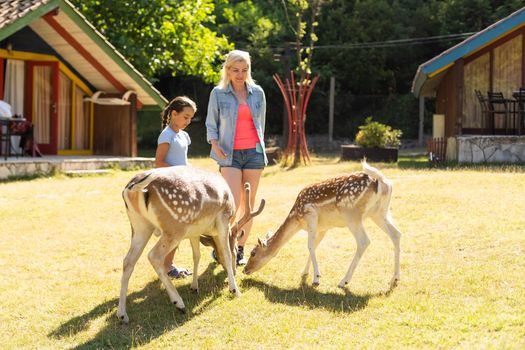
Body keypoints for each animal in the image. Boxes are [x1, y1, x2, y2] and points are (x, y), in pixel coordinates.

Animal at [117, 165, 264, 324]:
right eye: (237, 250)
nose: (236, 272)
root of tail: (132, 187)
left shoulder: (194, 232)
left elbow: (196, 256)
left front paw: (194, 287)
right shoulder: (223, 219)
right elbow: (225, 252)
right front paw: (235, 290)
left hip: (140, 226)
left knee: (128, 261)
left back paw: (122, 314)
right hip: (175, 227)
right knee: (154, 256)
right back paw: (179, 303)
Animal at [244, 161, 400, 290]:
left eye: (253, 253)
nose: (245, 269)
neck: (297, 218)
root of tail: (382, 181)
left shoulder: (311, 215)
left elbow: (310, 246)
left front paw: (316, 278)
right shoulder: (323, 228)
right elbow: (315, 245)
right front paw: (305, 273)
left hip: (352, 215)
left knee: (364, 241)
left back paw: (343, 281)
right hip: (380, 213)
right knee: (396, 234)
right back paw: (395, 279)